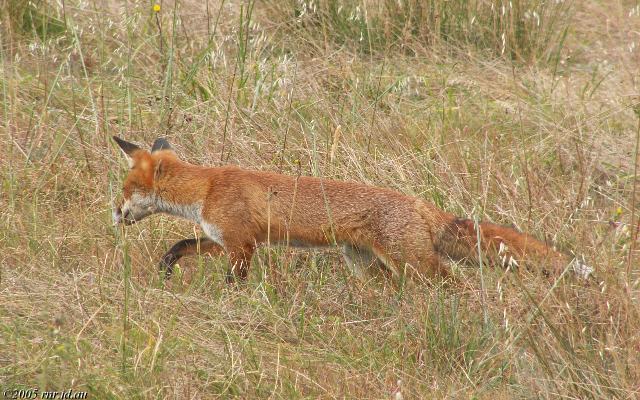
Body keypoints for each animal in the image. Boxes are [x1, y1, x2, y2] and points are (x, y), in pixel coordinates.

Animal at [111, 137, 596, 284]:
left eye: (125, 189)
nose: (114, 214)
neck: (207, 187)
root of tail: (422, 204)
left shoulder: (241, 245)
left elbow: (234, 280)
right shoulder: (229, 239)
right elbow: (182, 243)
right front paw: (167, 266)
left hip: (412, 263)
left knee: (450, 282)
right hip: (365, 264)